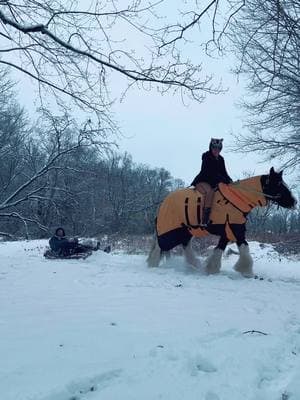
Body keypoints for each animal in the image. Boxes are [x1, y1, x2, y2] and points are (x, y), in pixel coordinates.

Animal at [146, 167, 296, 276]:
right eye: (278, 184)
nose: (294, 202)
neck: (238, 199)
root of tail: (164, 203)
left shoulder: (229, 230)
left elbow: (221, 248)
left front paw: (211, 269)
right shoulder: (236, 228)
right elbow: (244, 247)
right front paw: (246, 270)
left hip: (186, 231)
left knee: (185, 246)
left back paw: (194, 265)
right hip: (171, 231)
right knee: (160, 245)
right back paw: (153, 264)